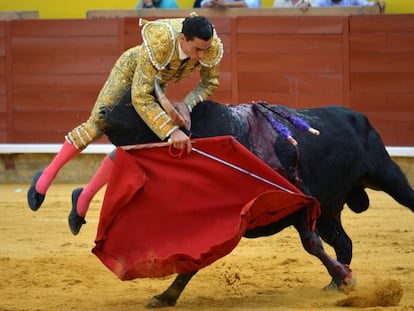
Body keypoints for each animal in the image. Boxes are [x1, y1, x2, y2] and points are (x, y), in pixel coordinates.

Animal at [98, 93, 412, 310]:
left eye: (135, 106)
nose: (102, 111)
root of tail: (357, 115)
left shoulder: (300, 202)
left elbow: (312, 245)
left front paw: (349, 279)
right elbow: (194, 260)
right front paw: (165, 297)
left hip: (386, 175)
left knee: (405, 200)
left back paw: (339, 280)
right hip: (328, 211)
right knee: (344, 242)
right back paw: (334, 284)